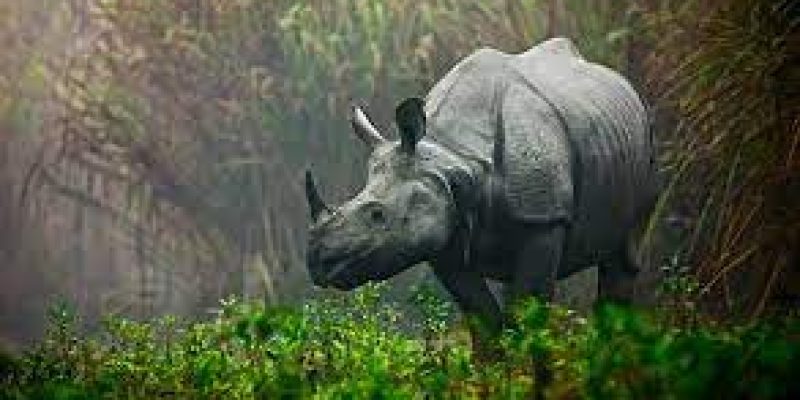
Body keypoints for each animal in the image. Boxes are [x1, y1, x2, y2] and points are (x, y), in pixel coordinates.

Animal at [305, 38, 657, 329]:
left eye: (377, 215)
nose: (317, 261)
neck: (455, 158)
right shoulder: (445, 227)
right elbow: (484, 320)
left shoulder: (544, 219)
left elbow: (526, 317)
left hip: (647, 142)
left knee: (625, 257)